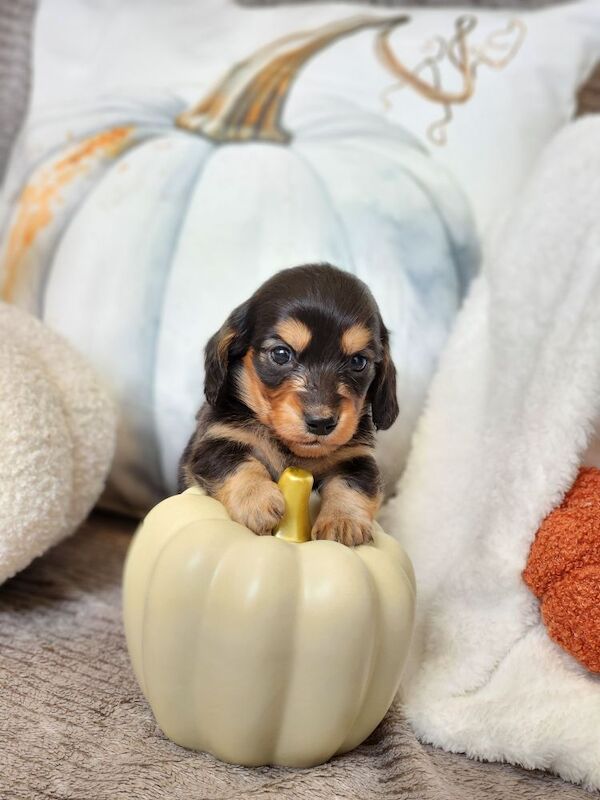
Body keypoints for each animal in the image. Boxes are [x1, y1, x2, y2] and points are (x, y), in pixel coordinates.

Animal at [180, 266, 400, 548]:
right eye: (281, 354)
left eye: (358, 362)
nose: (321, 423)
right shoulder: (215, 440)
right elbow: (235, 461)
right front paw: (257, 499)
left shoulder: (356, 458)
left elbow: (354, 483)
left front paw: (343, 521)